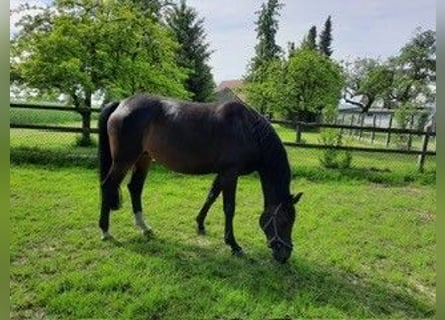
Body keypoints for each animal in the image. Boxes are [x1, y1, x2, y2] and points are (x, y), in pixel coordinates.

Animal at [98, 92, 302, 262]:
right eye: (284, 221)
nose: (284, 255)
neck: (248, 129)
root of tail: (121, 104)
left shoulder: (223, 173)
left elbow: (211, 196)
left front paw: (200, 224)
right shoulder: (230, 173)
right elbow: (229, 207)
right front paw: (233, 245)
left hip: (143, 158)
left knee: (135, 188)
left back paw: (144, 227)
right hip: (124, 160)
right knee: (108, 186)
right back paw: (105, 231)